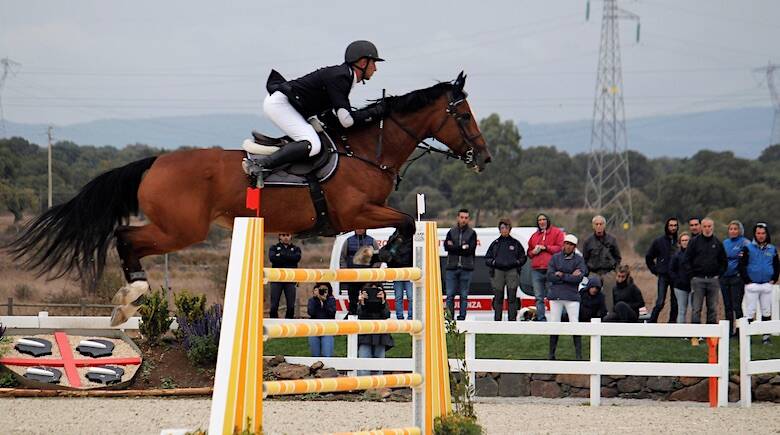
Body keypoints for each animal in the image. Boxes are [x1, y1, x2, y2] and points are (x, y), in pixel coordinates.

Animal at [6, 71, 490, 326]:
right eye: (464, 115)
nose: (483, 157)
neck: (367, 150)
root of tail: (155, 161)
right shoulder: (356, 211)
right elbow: (404, 221)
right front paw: (380, 254)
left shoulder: (359, 214)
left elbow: (403, 222)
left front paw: (377, 254)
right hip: (182, 229)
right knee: (126, 238)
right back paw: (130, 296)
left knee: (126, 238)